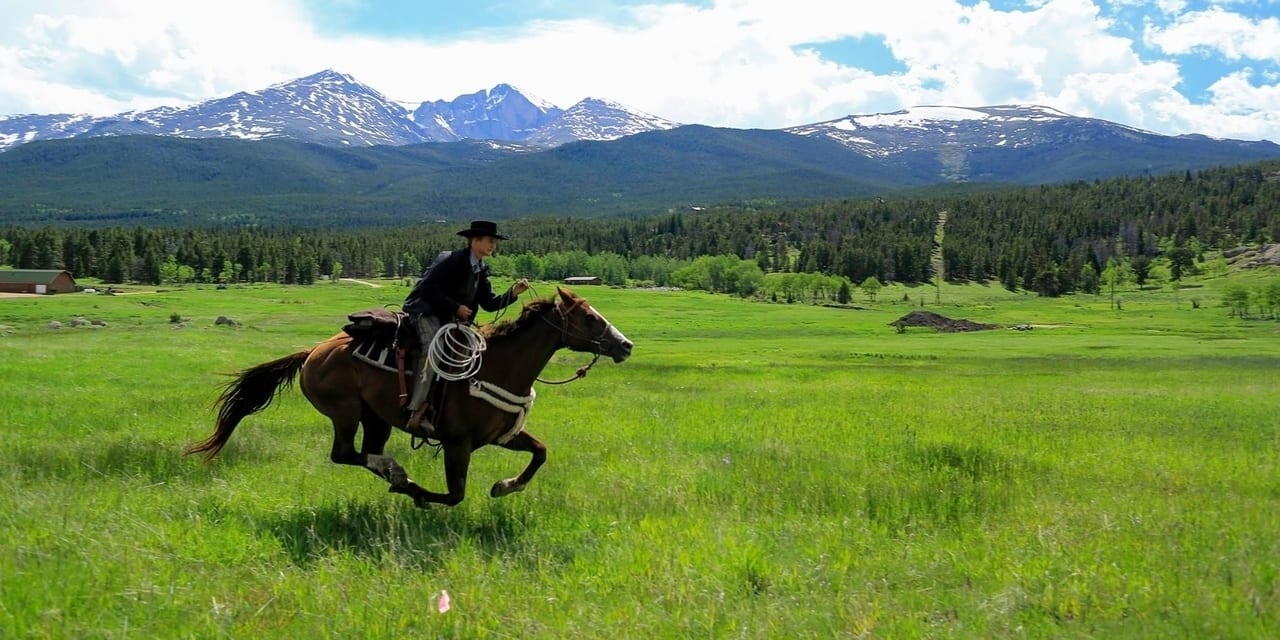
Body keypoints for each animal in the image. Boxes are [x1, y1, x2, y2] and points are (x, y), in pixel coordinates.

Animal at [185, 288, 634, 506]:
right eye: (589, 317)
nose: (625, 346)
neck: (499, 367)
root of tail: (313, 351)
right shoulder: (457, 443)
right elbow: (454, 495)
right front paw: (419, 496)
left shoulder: (504, 436)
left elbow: (540, 453)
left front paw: (505, 486)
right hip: (345, 411)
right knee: (345, 454)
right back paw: (400, 477)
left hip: (375, 417)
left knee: (363, 452)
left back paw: (395, 473)